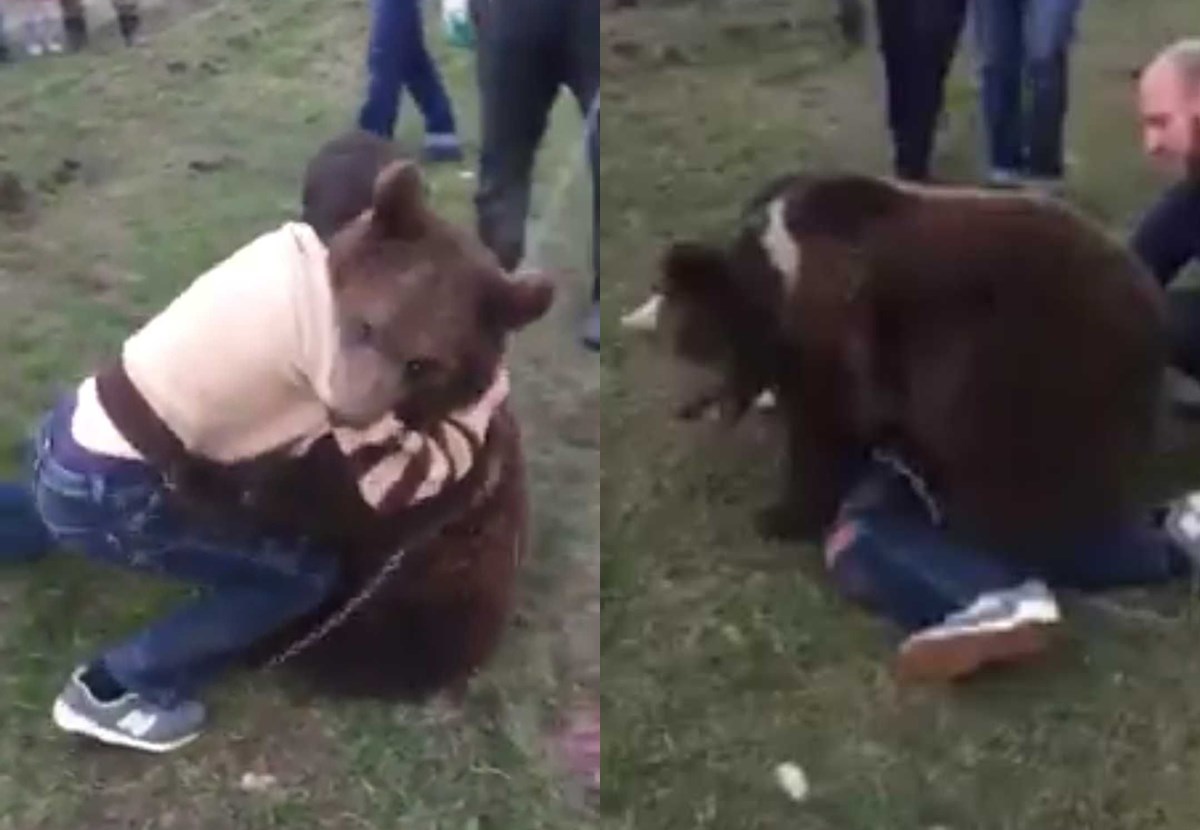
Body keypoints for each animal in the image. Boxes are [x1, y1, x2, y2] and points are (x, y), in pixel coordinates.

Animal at [633, 173, 1166, 563]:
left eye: (683, 343)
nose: (681, 408)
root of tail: (1149, 298)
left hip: (1034, 362)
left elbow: (820, 433)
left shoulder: (831, 339)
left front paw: (781, 516)